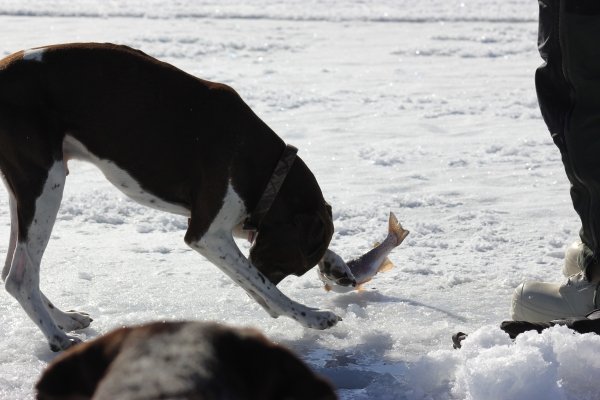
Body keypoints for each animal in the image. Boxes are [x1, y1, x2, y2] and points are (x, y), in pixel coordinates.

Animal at [0, 42, 346, 352]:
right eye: (289, 265)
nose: (265, 310)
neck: (264, 163)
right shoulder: (207, 234)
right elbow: (263, 284)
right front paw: (311, 315)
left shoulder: (233, 222)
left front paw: (337, 267)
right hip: (46, 182)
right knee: (19, 276)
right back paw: (57, 338)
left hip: (28, 190)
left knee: (11, 270)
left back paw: (64, 319)